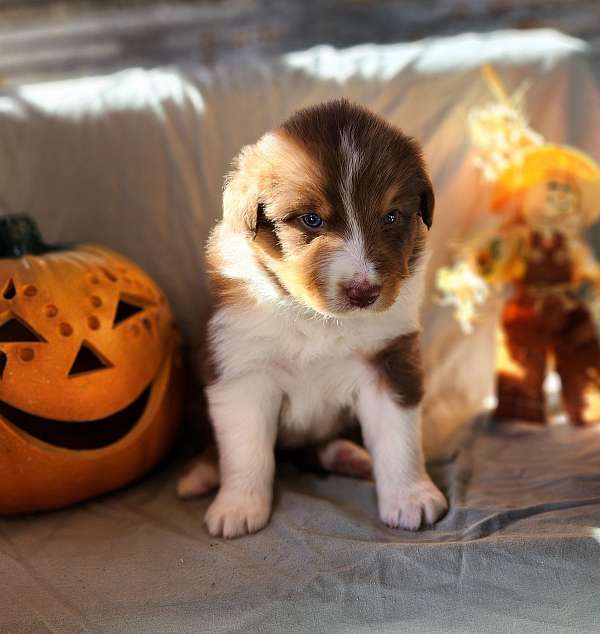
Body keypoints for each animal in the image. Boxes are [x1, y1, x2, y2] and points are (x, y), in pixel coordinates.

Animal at [179, 100, 450, 540]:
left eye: (391, 217)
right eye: (311, 220)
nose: (363, 292)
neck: (318, 320)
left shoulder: (388, 360)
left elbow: (399, 439)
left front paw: (411, 498)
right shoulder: (243, 370)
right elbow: (246, 451)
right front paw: (238, 507)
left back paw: (348, 456)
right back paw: (199, 475)